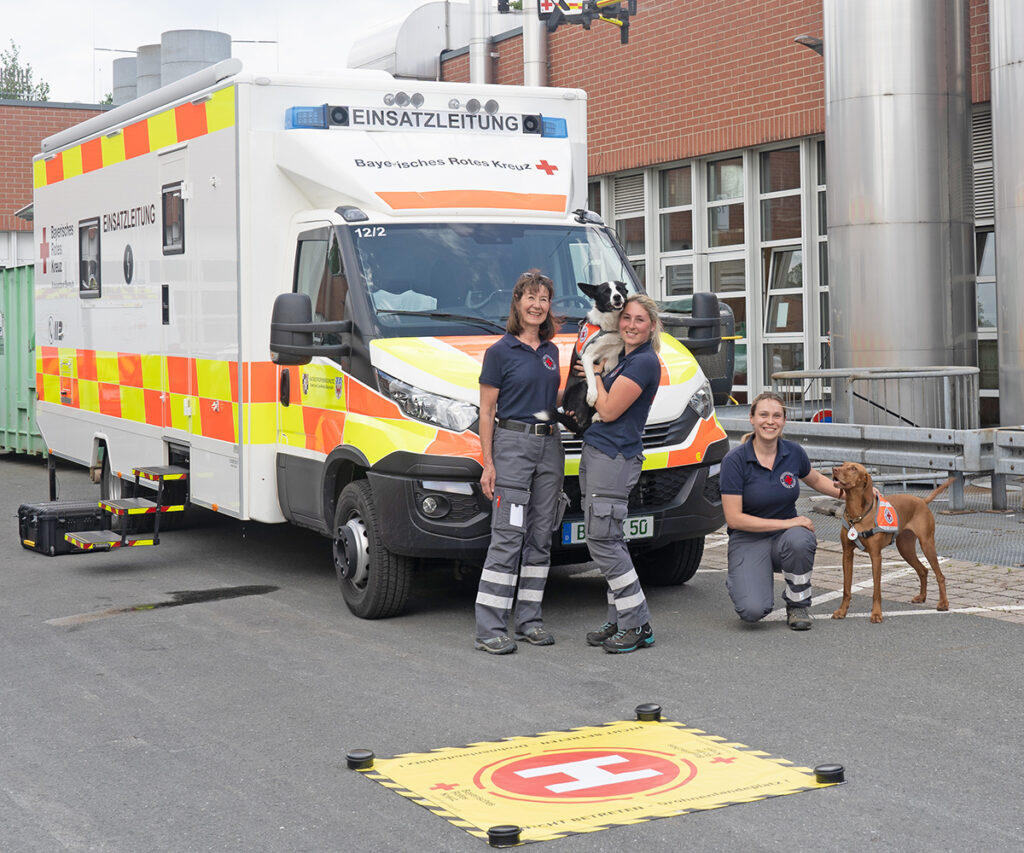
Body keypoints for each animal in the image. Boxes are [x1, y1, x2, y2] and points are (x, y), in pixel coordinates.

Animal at [831, 462, 950, 622]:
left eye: (854, 468)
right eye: (843, 464)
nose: (834, 469)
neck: (857, 515)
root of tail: (922, 501)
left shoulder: (876, 556)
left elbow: (876, 589)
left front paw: (876, 613)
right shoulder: (847, 554)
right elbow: (846, 588)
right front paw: (842, 611)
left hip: (927, 544)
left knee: (940, 576)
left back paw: (943, 603)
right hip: (905, 548)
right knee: (923, 570)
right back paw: (922, 596)